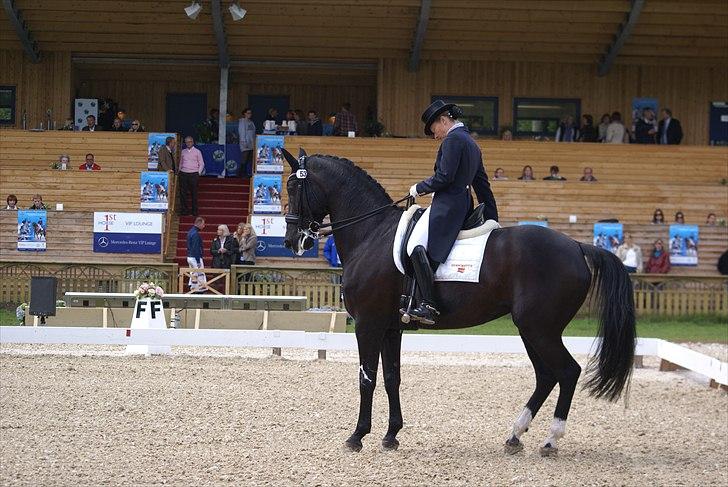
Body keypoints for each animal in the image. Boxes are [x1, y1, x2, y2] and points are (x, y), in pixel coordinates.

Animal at [282, 152, 636, 458]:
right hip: (531, 330)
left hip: (540, 329)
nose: (291, 240)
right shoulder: (391, 327)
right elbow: (392, 377)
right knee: (547, 376)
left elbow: (366, 378)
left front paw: (357, 436)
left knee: (568, 372)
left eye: (293, 186)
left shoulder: (368, 324)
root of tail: (577, 246)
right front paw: (391, 435)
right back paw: (514, 435)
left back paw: (550, 440)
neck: (372, 234)